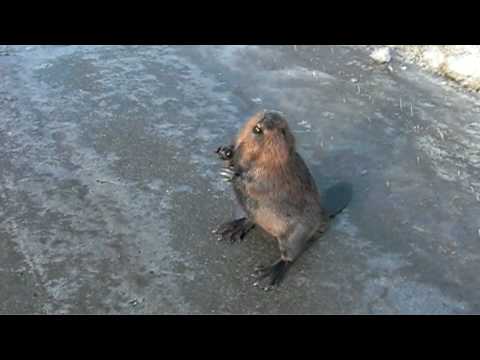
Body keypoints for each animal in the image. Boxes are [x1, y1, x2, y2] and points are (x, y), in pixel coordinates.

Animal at [214, 109, 352, 286]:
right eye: (265, 112)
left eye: (283, 130)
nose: (266, 119)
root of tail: (325, 216)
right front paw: (225, 151)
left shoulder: (277, 172)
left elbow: (259, 184)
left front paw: (231, 174)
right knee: (249, 219)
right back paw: (230, 229)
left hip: (297, 234)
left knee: (289, 256)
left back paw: (267, 275)